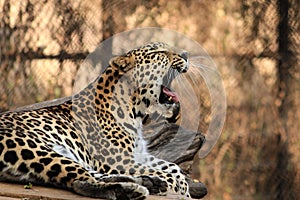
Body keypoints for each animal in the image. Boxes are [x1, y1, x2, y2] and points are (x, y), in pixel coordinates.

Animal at [0, 41, 191, 199]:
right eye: (158, 52)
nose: (186, 55)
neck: (134, 109)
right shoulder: (119, 160)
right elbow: (168, 174)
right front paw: (180, 189)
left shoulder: (137, 154)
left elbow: (172, 167)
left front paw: (182, 186)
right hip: (37, 149)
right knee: (81, 181)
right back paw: (132, 190)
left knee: (90, 175)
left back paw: (147, 182)